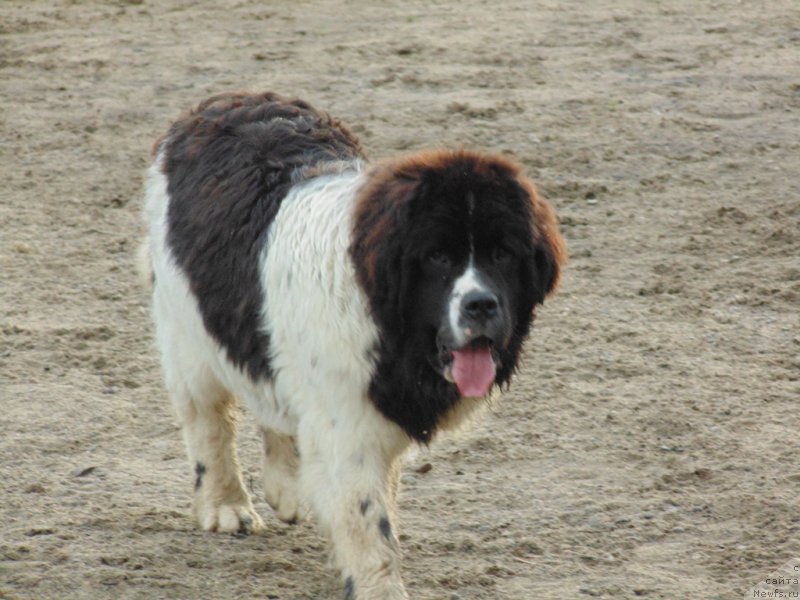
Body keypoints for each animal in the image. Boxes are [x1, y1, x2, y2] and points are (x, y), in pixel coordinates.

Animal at [142, 91, 568, 596]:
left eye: (502, 253)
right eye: (437, 256)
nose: (481, 304)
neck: (389, 327)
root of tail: (218, 102)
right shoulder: (347, 428)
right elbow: (368, 519)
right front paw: (379, 586)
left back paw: (286, 487)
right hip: (188, 330)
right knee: (207, 421)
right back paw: (224, 504)